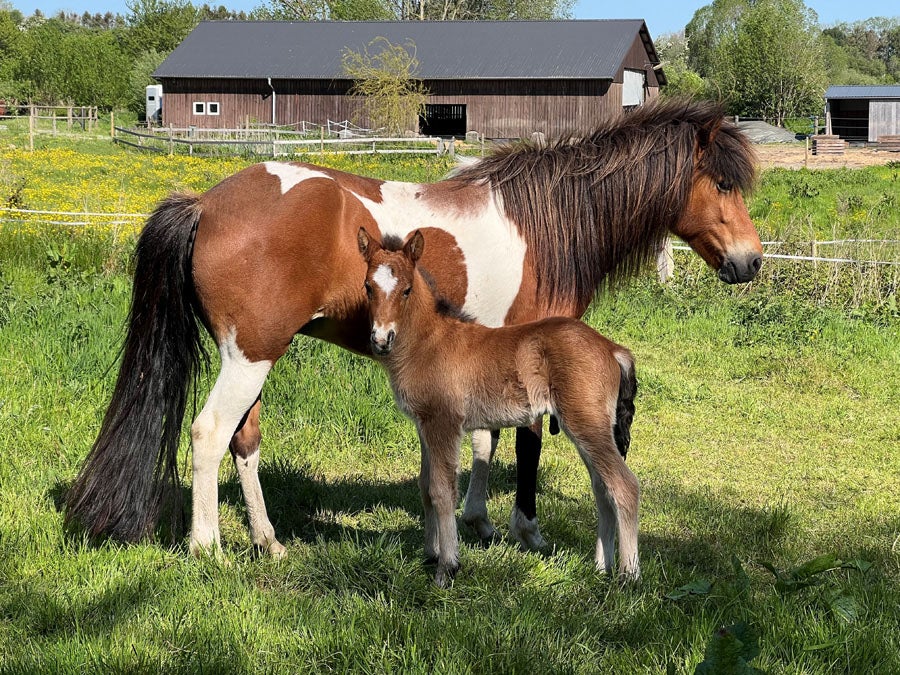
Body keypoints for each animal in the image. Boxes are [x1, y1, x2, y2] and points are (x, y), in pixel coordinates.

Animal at [356, 228, 640, 588]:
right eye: (368, 287)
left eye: (406, 289)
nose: (381, 340)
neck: (429, 343)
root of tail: (612, 348)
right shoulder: (424, 425)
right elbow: (424, 485)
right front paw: (430, 554)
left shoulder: (443, 422)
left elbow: (442, 490)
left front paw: (446, 568)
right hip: (589, 426)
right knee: (603, 489)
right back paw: (601, 568)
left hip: (586, 423)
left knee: (624, 486)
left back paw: (629, 575)